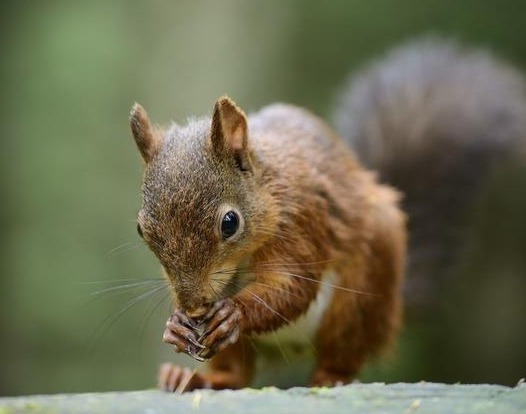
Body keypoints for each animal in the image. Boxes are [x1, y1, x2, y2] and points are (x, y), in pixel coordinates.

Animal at [129, 38, 526, 392]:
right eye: (141, 230)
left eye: (230, 223)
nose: (194, 307)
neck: (269, 190)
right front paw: (176, 325)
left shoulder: (303, 220)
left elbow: (292, 286)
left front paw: (234, 312)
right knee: (236, 374)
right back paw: (197, 378)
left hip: (363, 293)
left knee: (344, 352)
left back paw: (331, 376)